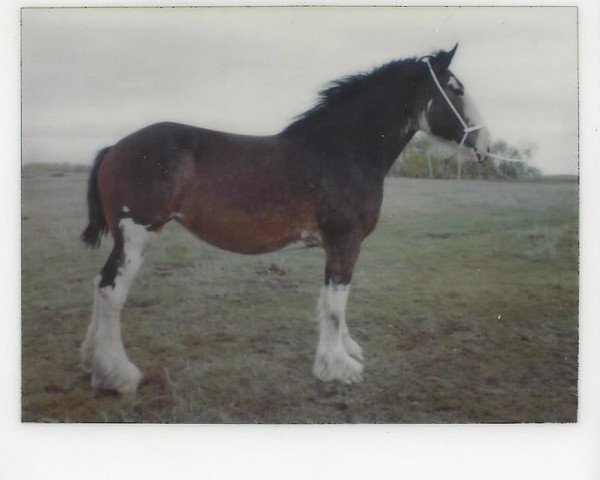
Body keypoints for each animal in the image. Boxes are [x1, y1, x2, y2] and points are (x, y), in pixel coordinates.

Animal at [81, 43, 492, 392]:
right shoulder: (345, 242)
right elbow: (335, 305)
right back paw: (119, 375)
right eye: (456, 89)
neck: (341, 152)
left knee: (100, 285)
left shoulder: (335, 246)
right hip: (137, 235)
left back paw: (94, 364)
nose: (485, 146)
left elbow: (330, 301)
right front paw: (338, 368)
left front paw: (345, 351)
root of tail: (115, 148)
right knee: (111, 291)